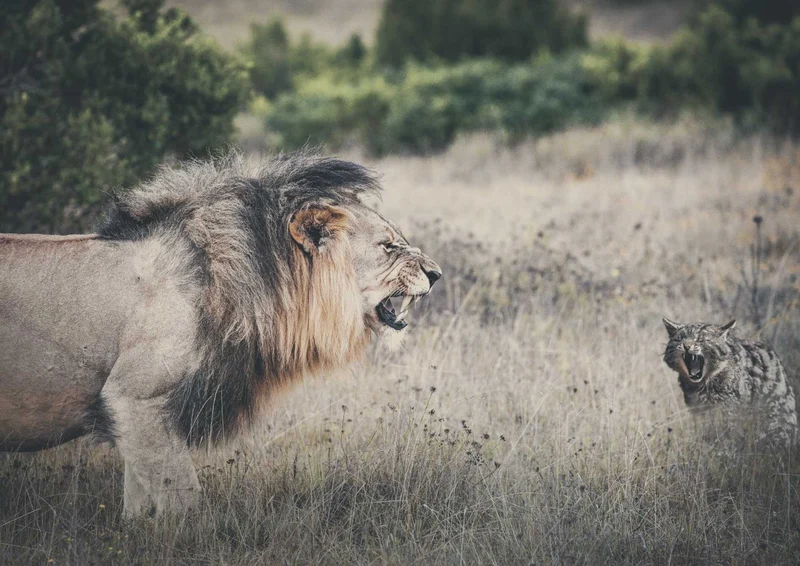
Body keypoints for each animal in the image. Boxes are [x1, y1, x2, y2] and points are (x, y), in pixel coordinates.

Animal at [0, 151, 441, 517]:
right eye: (388, 246)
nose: (436, 273)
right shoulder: (133, 398)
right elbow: (184, 499)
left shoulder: (139, 415)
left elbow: (139, 502)